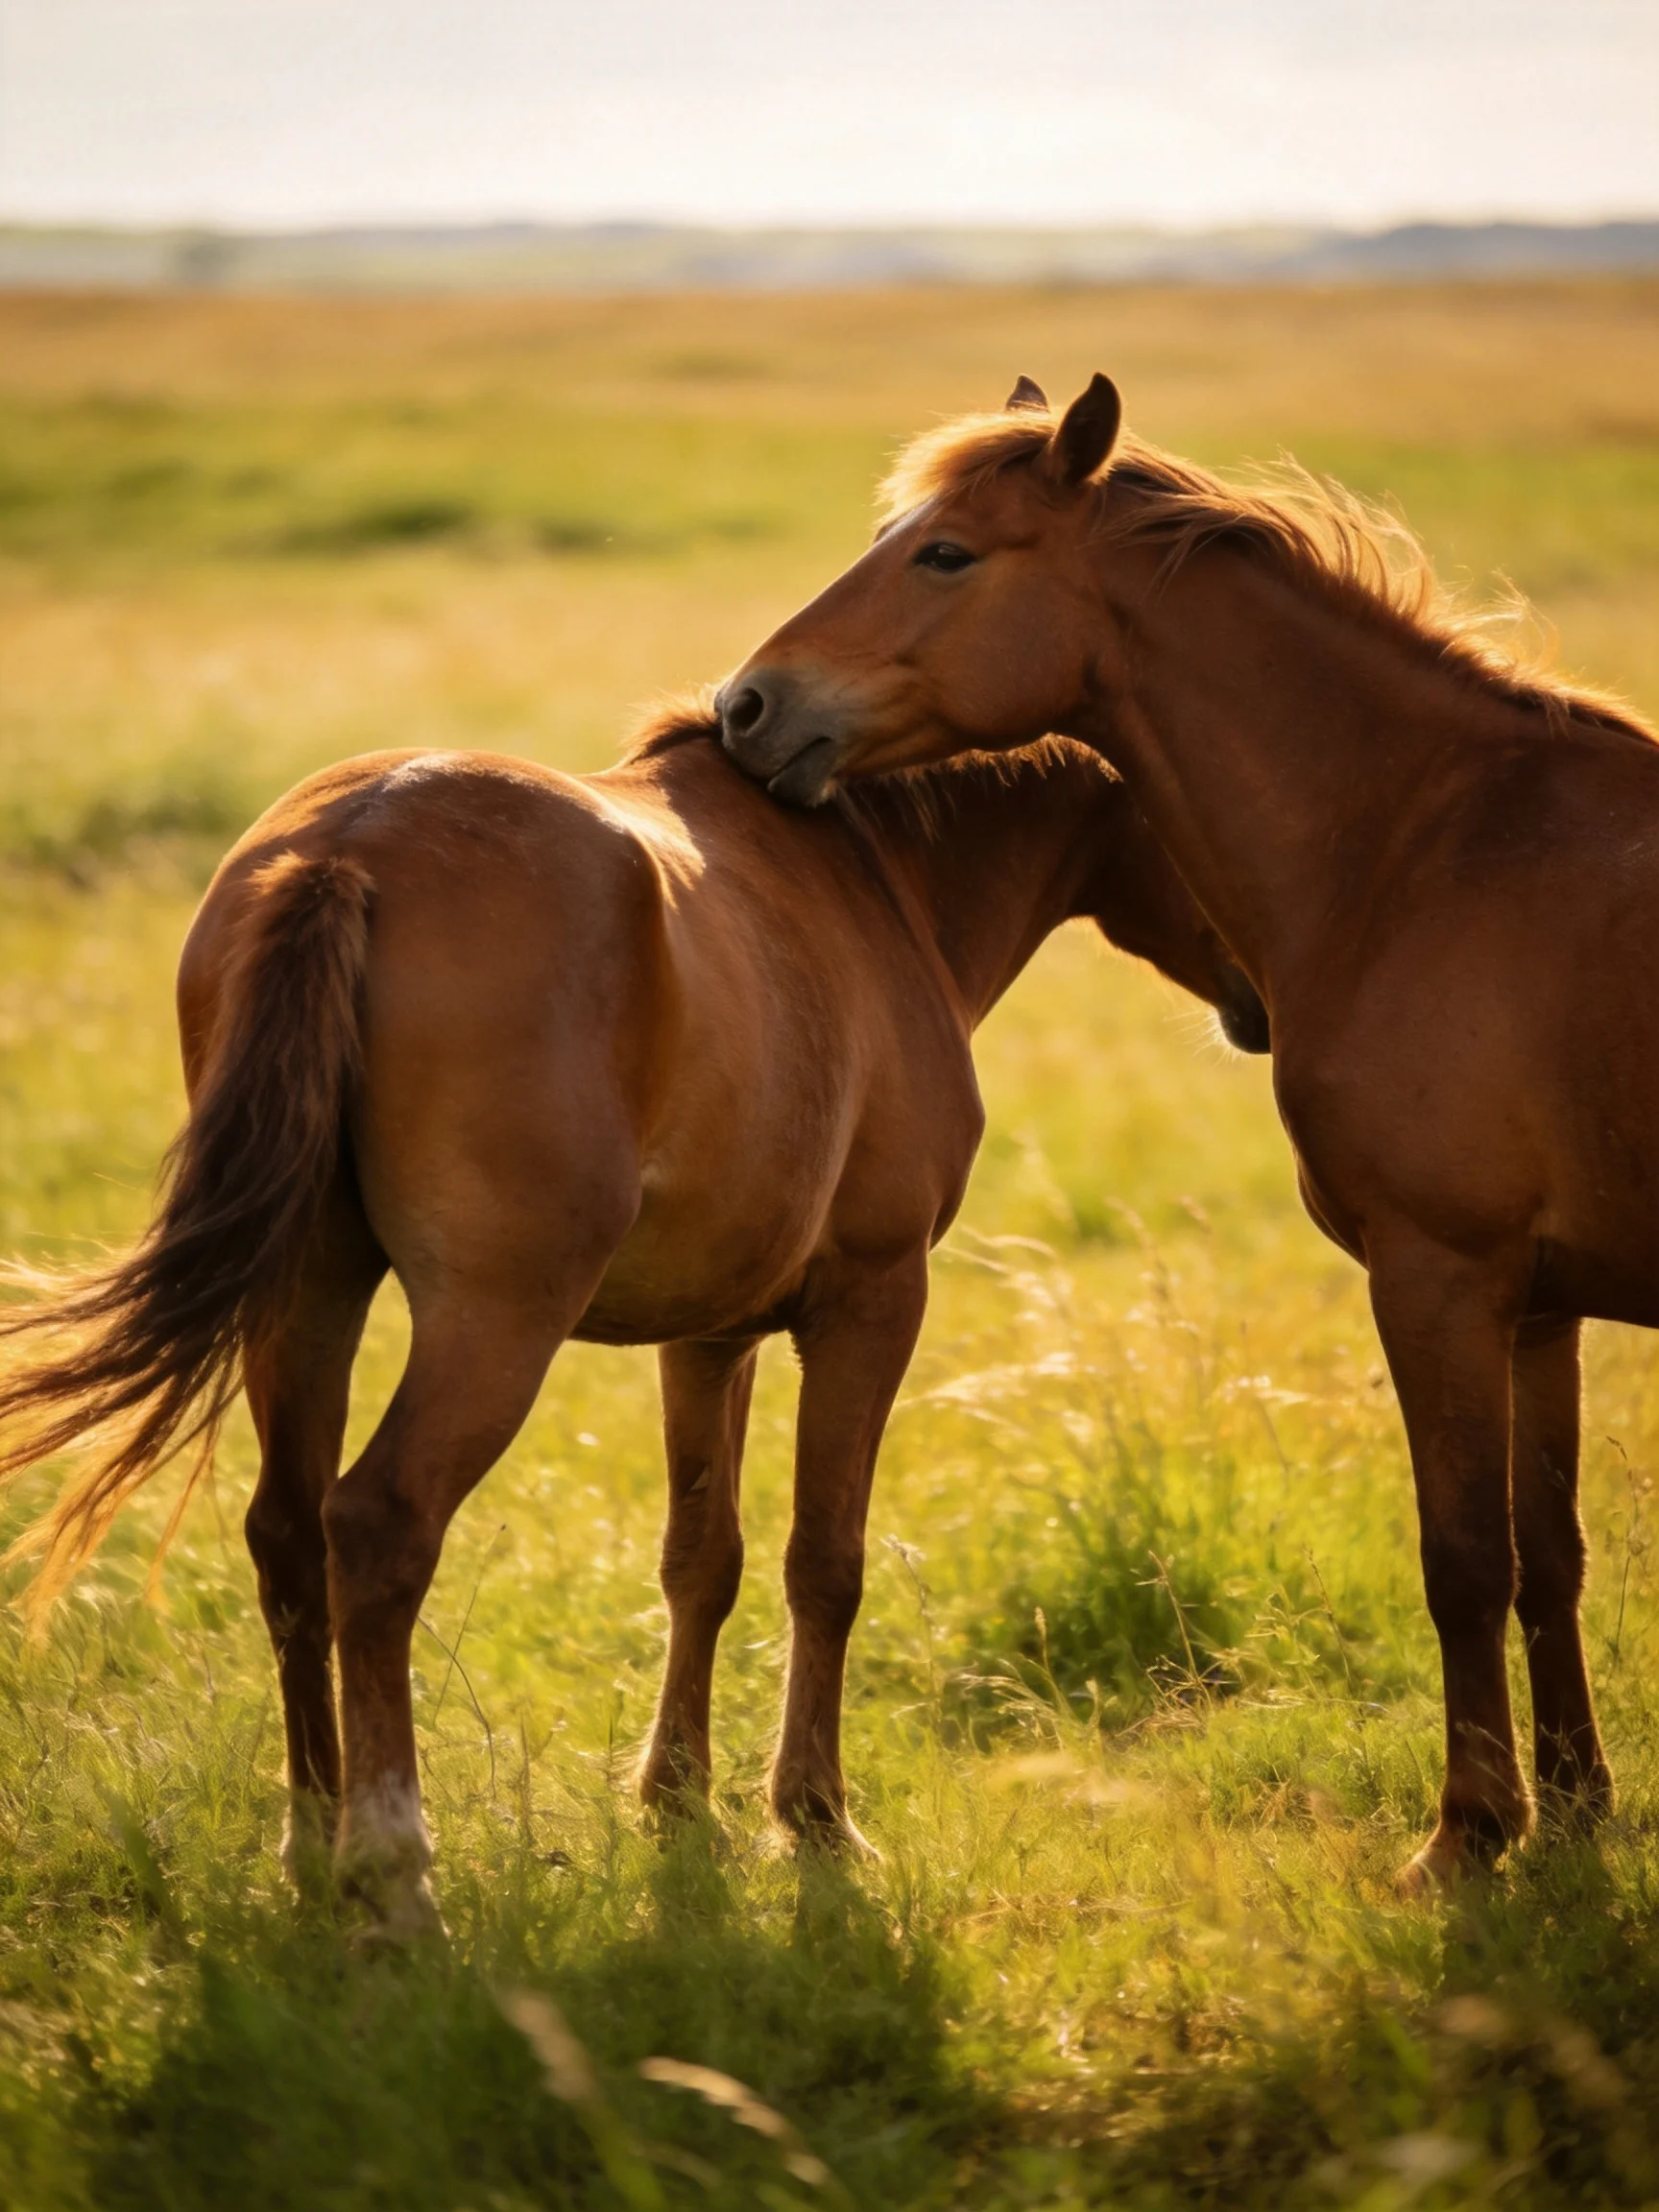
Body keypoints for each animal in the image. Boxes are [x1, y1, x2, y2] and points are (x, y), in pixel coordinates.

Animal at [0, 706, 1264, 1937]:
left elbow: (702, 1560)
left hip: (308, 1295)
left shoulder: (709, 1334)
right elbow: (825, 1563)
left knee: (288, 1537)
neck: (869, 877)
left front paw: (680, 1802)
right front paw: (814, 1821)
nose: (1269, 1002)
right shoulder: (872, 1301)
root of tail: (346, 849)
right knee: (377, 1525)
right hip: (494, 1320)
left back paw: (311, 1851)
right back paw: (394, 1877)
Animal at [716, 373, 1659, 1892]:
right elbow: (1548, 1554)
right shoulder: (1536, 1306)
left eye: (946, 554)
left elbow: (1464, 1558)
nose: (747, 706)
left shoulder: (1440, 1277)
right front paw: (1573, 1811)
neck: (1426, 844)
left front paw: (1466, 1837)